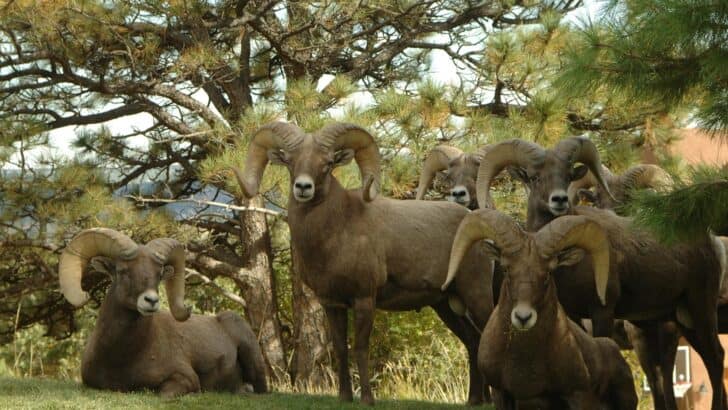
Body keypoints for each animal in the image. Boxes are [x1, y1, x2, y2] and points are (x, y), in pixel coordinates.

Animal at [58, 228, 268, 397]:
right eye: (122, 270)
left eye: (159, 274)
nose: (151, 300)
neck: (123, 357)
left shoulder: (184, 378)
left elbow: (163, 394)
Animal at [231, 121, 494, 405]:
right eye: (290, 162)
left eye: (327, 163)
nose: (303, 187)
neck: (336, 232)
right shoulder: (332, 304)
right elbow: (340, 349)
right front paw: (345, 397)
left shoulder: (364, 300)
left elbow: (359, 348)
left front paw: (367, 399)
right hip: (447, 305)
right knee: (473, 342)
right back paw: (474, 401)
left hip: (476, 296)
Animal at [473, 136, 728, 410]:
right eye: (534, 177)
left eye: (567, 175)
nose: (559, 200)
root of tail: (710, 242)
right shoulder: (573, 317)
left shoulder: (602, 311)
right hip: (680, 318)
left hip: (700, 308)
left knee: (714, 358)